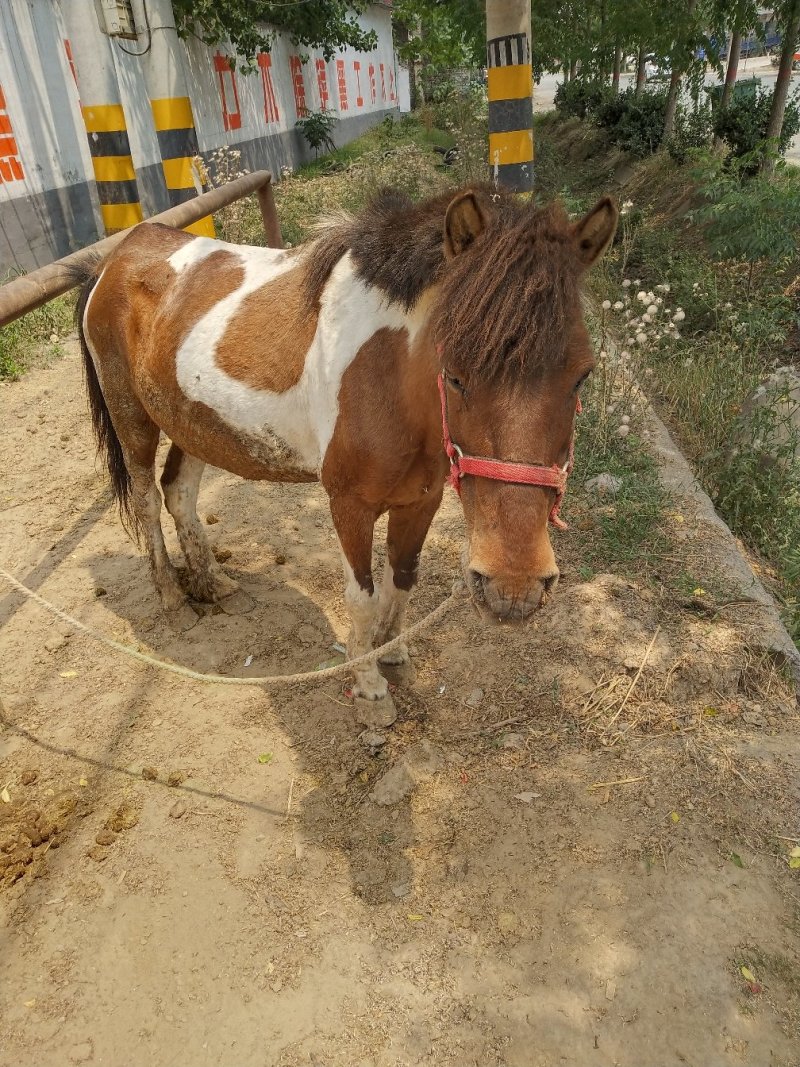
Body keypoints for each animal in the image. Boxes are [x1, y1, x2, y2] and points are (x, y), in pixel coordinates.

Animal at [74, 184, 617, 709]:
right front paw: (369, 685)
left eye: (582, 376)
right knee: (146, 500)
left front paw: (393, 653)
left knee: (179, 492)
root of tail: (118, 256)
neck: (392, 377)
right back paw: (172, 599)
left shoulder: (421, 501)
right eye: (454, 374)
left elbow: (402, 579)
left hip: (191, 423)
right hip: (133, 417)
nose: (514, 589)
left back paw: (214, 585)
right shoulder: (349, 505)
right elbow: (362, 597)